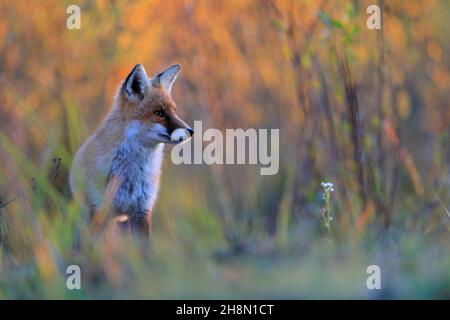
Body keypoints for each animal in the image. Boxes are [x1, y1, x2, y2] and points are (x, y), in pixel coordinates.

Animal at [69, 63, 192, 238]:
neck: (131, 174)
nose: (191, 131)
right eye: (159, 113)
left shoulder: (142, 211)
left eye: (174, 111)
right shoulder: (100, 208)